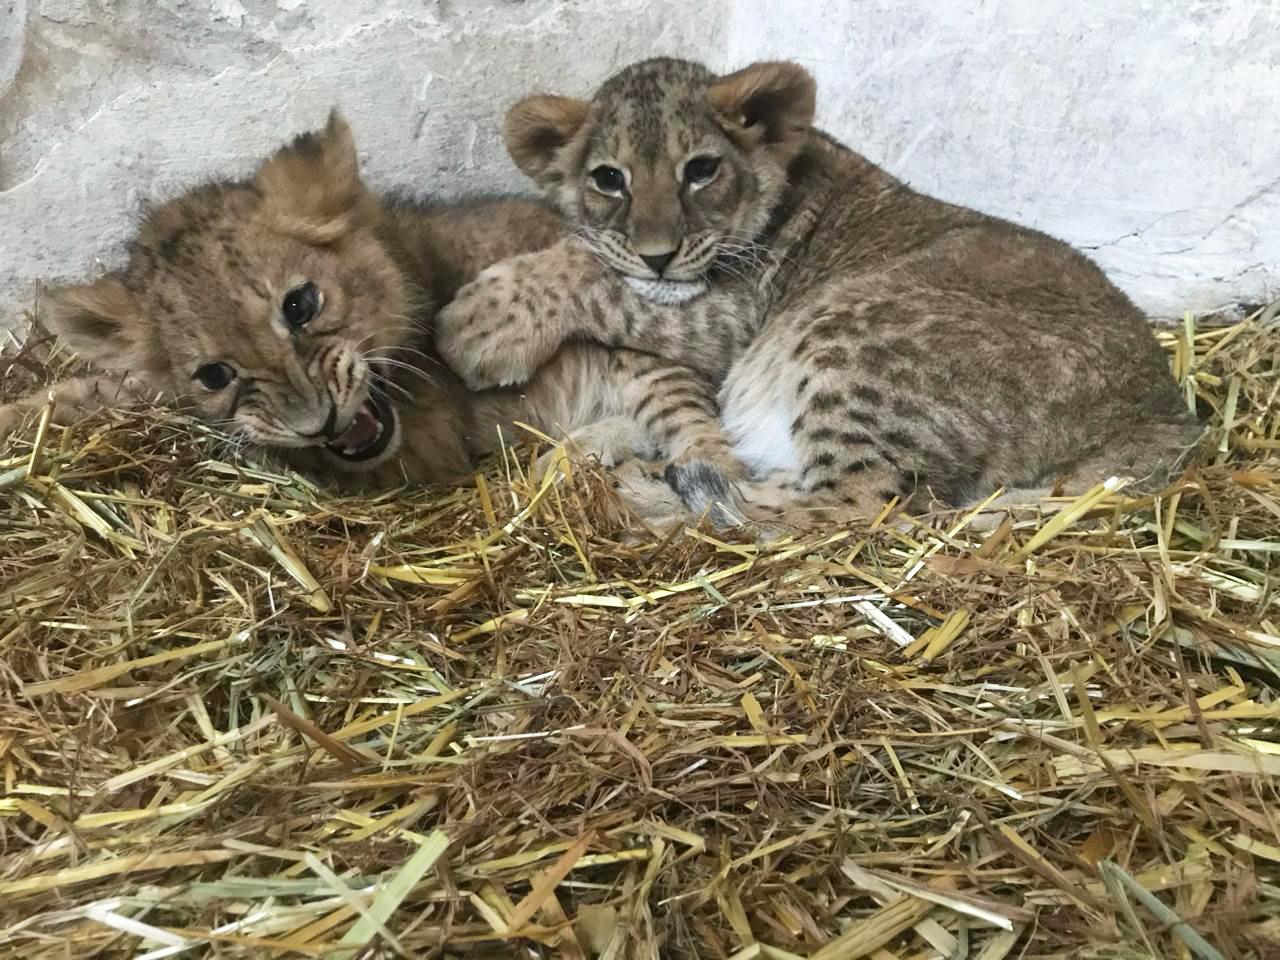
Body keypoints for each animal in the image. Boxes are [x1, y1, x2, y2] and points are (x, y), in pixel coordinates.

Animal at [0, 110, 729, 511]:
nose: (316, 425)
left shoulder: (429, 450)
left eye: (301, 304)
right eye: (214, 375)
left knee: (697, 431)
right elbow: (101, 388)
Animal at [435, 57, 1205, 532]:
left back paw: (650, 491)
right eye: (608, 178)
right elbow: (601, 265)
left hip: (851, 333)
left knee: (845, 504)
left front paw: (475, 328)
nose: (659, 255)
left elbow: (596, 274)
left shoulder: (734, 319)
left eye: (701, 170)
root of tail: (1165, 414)